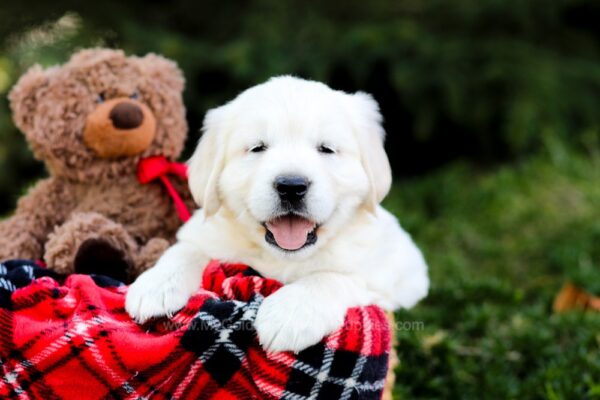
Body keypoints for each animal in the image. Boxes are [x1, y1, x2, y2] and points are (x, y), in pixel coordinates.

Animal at [126, 76, 428, 352]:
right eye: (258, 148)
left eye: (326, 149)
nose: (291, 186)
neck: (282, 258)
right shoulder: (206, 233)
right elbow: (186, 250)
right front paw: (155, 285)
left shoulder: (395, 275)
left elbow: (333, 276)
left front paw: (291, 313)